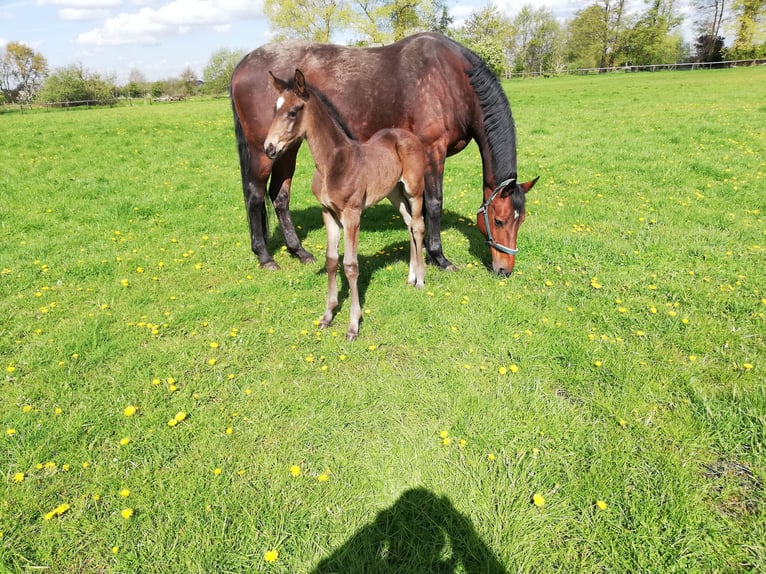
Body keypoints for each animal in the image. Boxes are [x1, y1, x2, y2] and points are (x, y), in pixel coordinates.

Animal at [231, 32, 536, 278]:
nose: (505, 270)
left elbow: (420, 206)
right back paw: (265, 257)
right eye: (498, 220)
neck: (450, 78)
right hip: (264, 150)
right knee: (255, 195)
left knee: (279, 196)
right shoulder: (432, 150)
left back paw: (299, 252)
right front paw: (439, 257)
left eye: (520, 219)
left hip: (287, 148)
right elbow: (434, 203)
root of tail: (242, 64)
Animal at [266, 71, 428, 342]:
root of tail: (409, 136)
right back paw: (411, 276)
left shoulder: (352, 214)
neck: (332, 163)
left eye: (293, 111)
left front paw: (353, 325)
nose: (268, 148)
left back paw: (421, 280)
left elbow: (351, 266)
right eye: (274, 109)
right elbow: (332, 260)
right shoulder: (328, 213)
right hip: (394, 192)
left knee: (418, 225)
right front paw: (327, 315)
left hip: (414, 190)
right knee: (408, 223)